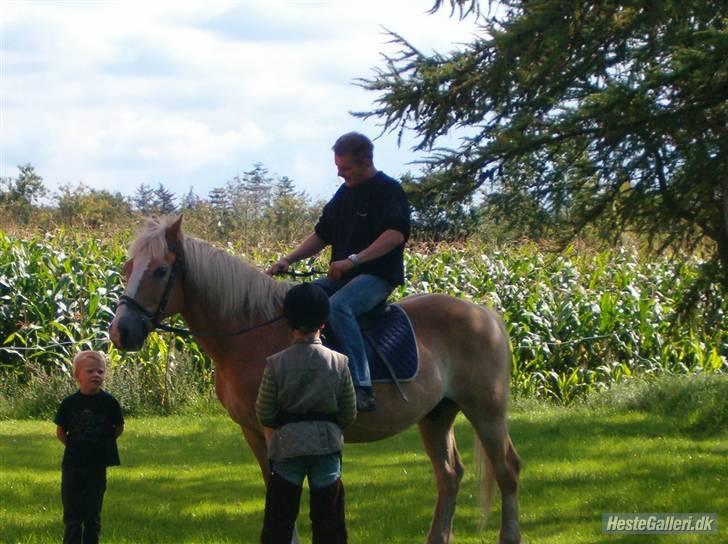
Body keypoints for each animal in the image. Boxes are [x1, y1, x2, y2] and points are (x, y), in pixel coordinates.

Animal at [108, 217, 520, 544]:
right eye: (127, 268)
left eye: (160, 271)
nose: (120, 332)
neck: (249, 330)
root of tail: (485, 312)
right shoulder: (252, 430)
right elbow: (272, 486)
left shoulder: (276, 429)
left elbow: (285, 489)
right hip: (436, 415)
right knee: (449, 475)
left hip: (486, 410)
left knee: (507, 469)